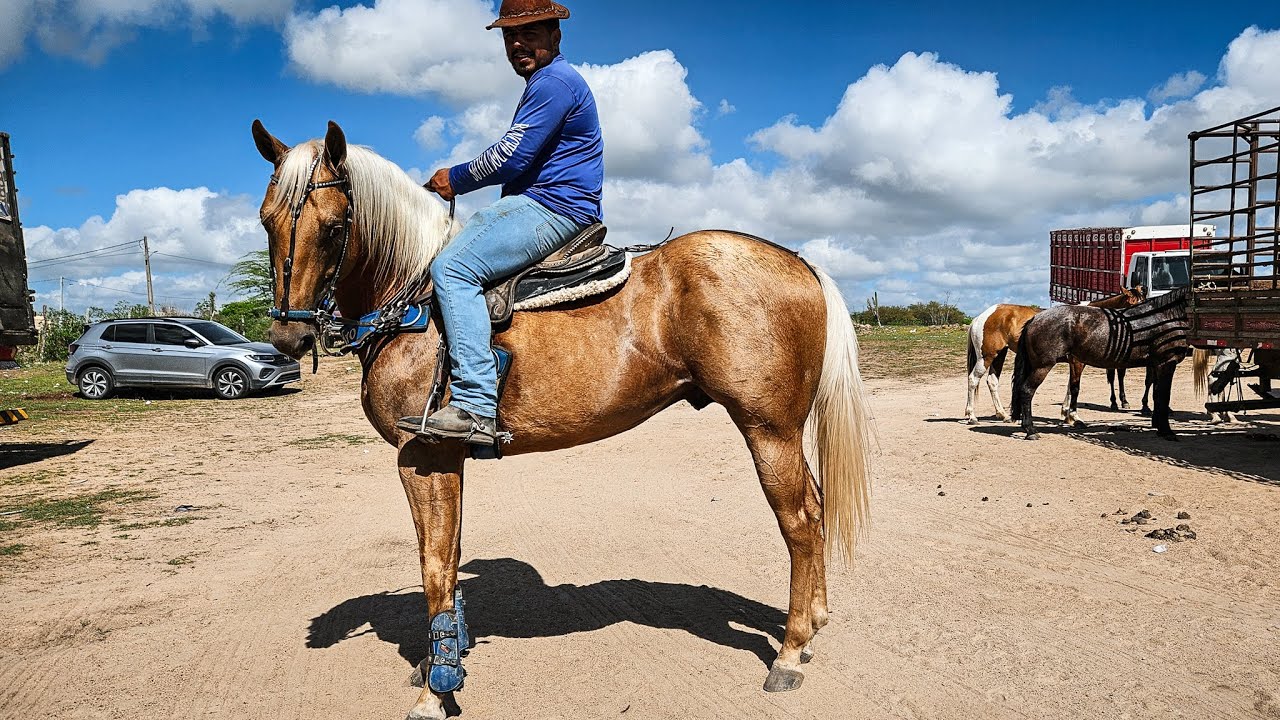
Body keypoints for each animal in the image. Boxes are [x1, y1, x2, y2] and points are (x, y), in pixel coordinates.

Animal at [251, 121, 874, 720]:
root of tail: (799, 263)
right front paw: (443, 657)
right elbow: (450, 553)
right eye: (266, 220)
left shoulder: (423, 455)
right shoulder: (446, 460)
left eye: (335, 227)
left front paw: (435, 689)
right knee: (816, 509)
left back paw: (790, 653)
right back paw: (813, 624)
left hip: (768, 430)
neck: (414, 304)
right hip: (782, 433)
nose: (288, 335)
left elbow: (434, 562)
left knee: (799, 523)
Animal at [963, 287, 1144, 425]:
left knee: (992, 382)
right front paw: (1072, 417)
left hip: (1000, 354)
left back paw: (1003, 414)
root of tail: (981, 317)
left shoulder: (1075, 362)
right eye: (1132, 303)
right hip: (986, 356)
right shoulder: (1077, 362)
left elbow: (1070, 386)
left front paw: (1066, 415)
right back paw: (972, 416)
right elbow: (1074, 386)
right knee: (973, 379)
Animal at [1011, 289, 1189, 440]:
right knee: (1027, 391)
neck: (1167, 316)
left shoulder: (1157, 364)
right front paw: (1166, 431)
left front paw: (1157, 425)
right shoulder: (1167, 363)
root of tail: (1035, 319)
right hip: (1042, 366)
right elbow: (1163, 396)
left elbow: (1156, 393)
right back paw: (1031, 430)